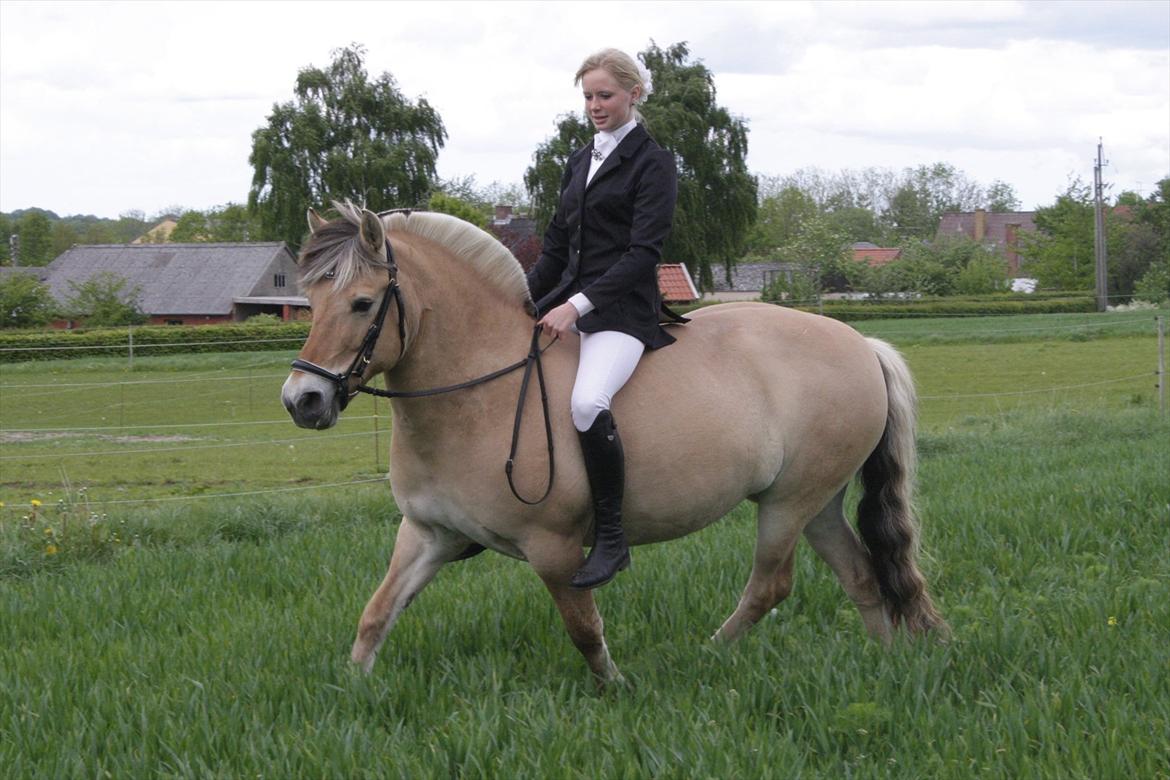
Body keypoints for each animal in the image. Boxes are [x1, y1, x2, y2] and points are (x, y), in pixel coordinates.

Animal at [281, 203, 946, 686]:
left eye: (362, 303)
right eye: (310, 301)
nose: (301, 401)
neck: (477, 393)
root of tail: (861, 344)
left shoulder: (552, 549)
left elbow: (584, 629)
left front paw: (617, 689)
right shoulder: (427, 534)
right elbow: (374, 617)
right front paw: (352, 692)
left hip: (788, 503)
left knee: (770, 586)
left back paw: (706, 654)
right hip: (817, 501)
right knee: (861, 575)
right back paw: (886, 665)